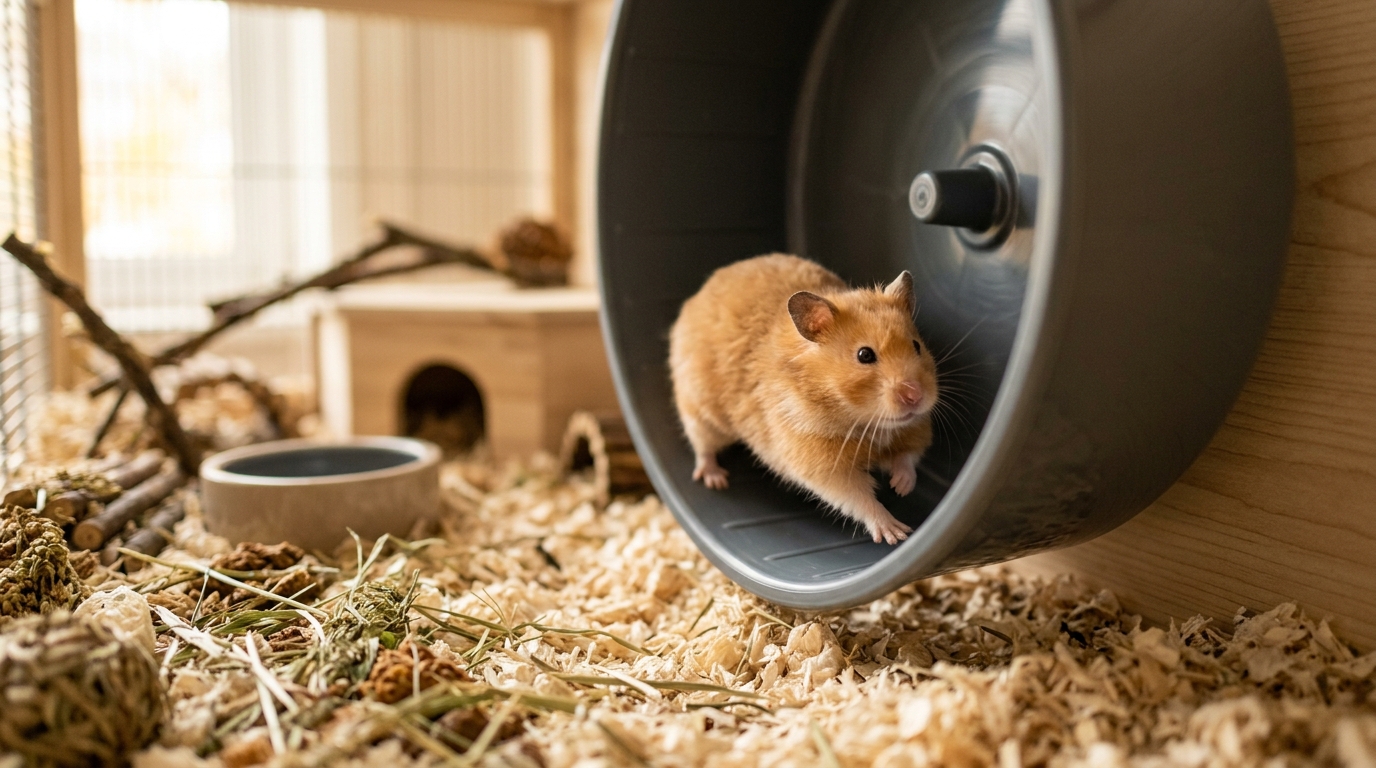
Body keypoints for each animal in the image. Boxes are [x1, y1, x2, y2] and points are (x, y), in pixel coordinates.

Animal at [669, 254, 939, 545]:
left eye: (917, 346)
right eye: (864, 355)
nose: (915, 395)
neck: (864, 421)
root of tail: (700, 293)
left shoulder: (915, 429)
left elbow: (907, 457)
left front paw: (901, 487)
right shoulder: (821, 466)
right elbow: (859, 499)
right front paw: (896, 534)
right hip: (699, 412)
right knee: (703, 447)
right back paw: (716, 479)